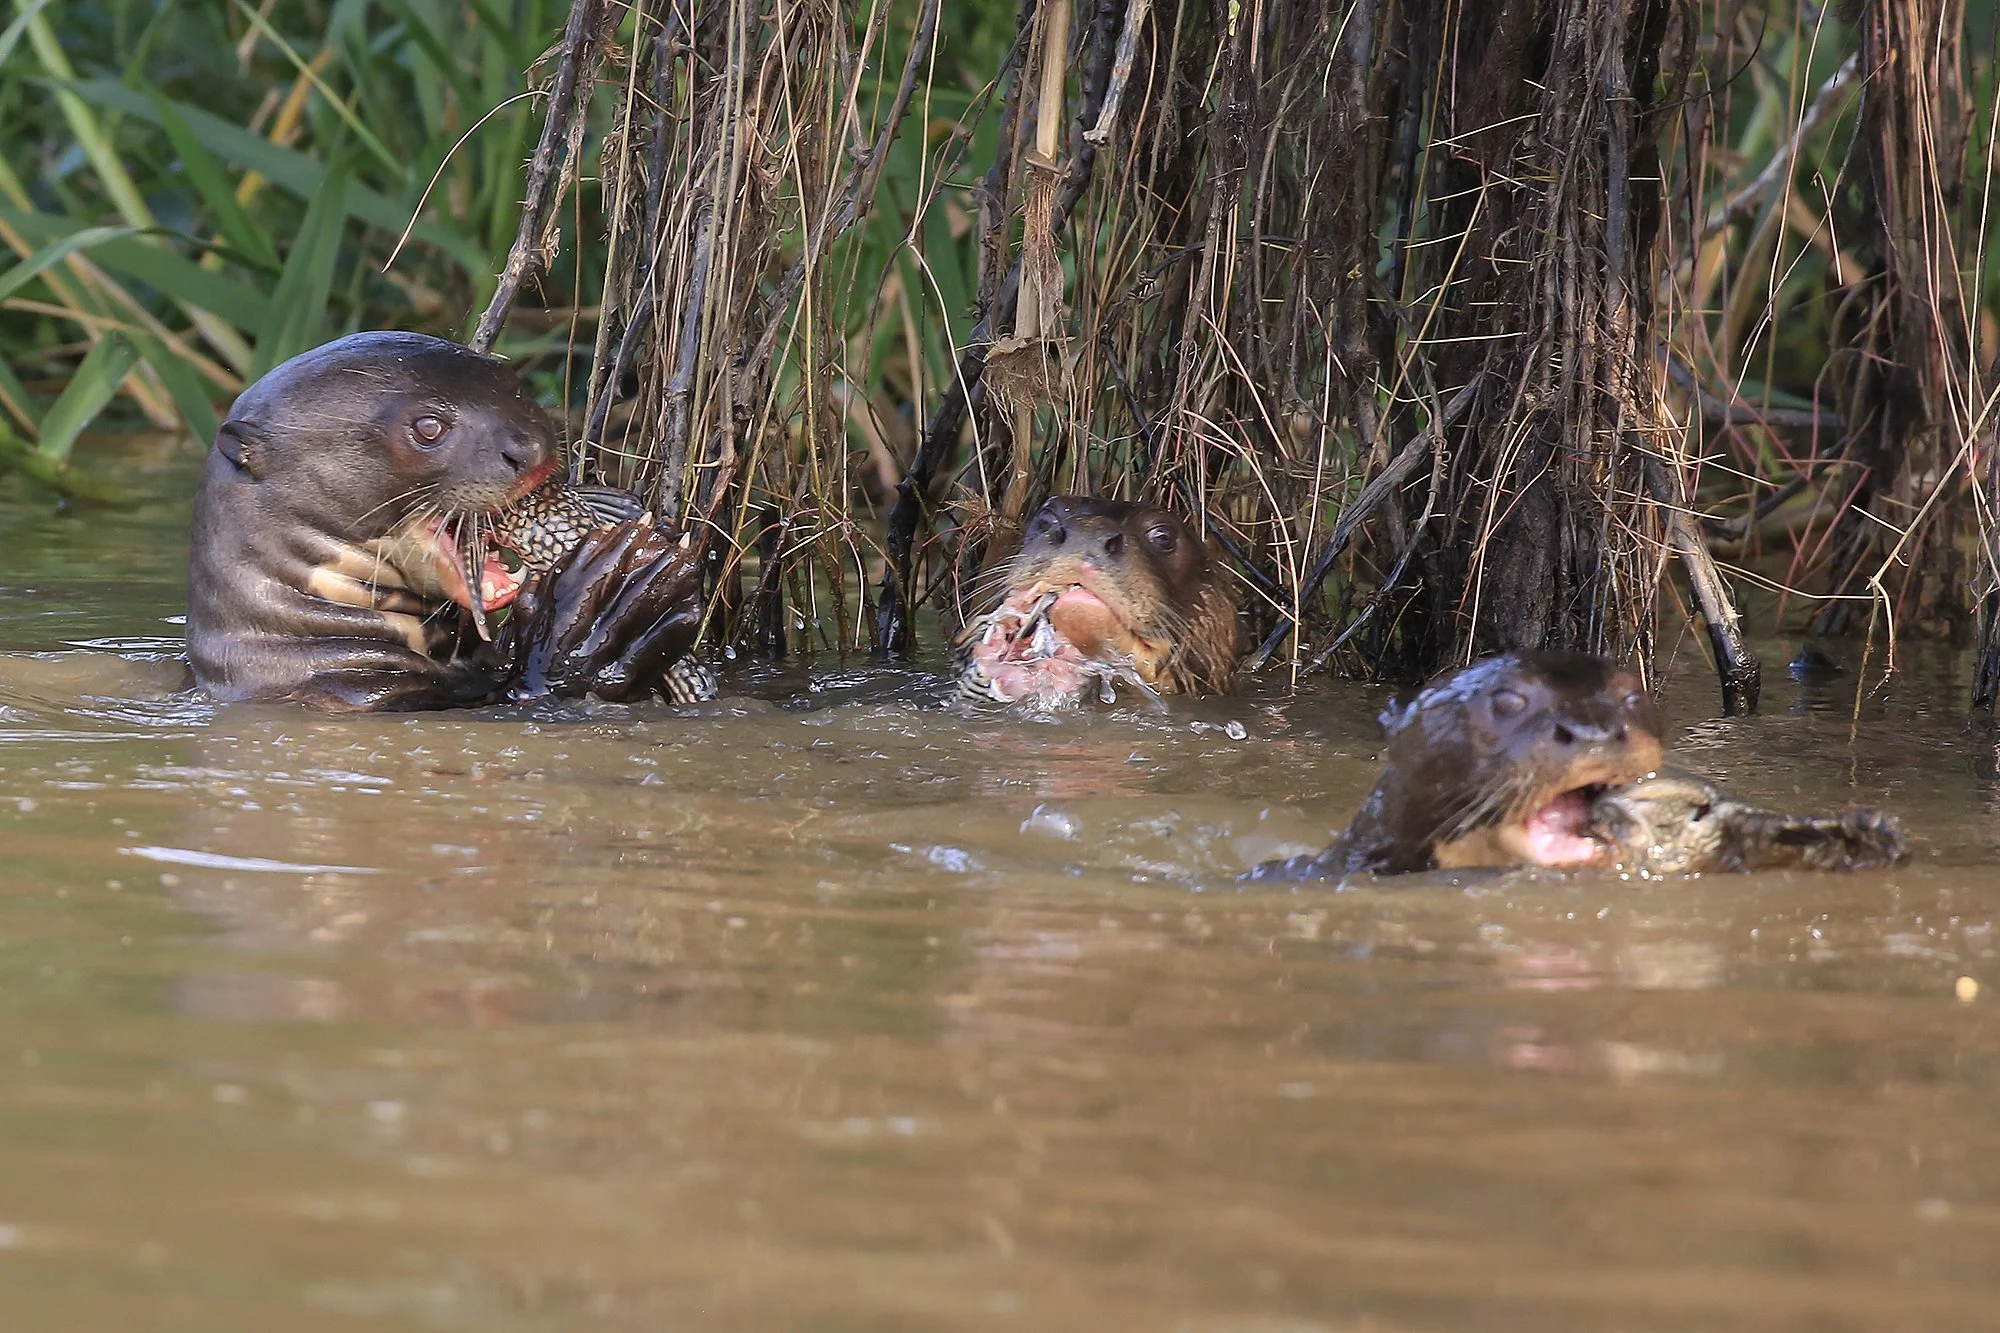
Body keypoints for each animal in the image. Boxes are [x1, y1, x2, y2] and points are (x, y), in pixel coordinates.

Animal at [186, 331, 707, 711]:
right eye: (429, 427)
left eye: (515, 384)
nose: (529, 448)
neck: (304, 646)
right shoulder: (357, 696)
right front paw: (607, 607)